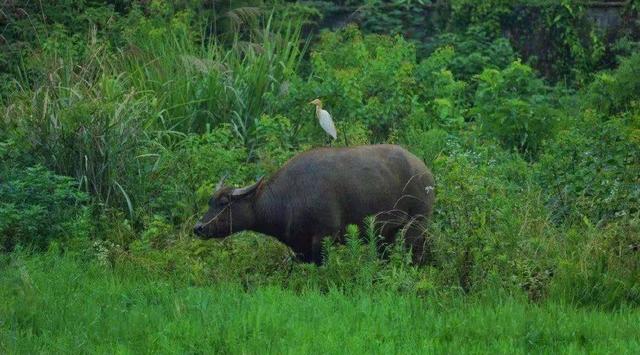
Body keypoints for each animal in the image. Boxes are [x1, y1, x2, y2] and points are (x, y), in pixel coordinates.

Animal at [195, 145, 436, 264]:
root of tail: (424, 171)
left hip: (417, 223)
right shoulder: (301, 249)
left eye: (224, 202)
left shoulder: (324, 237)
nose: (199, 227)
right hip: (386, 233)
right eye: (210, 201)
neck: (289, 196)